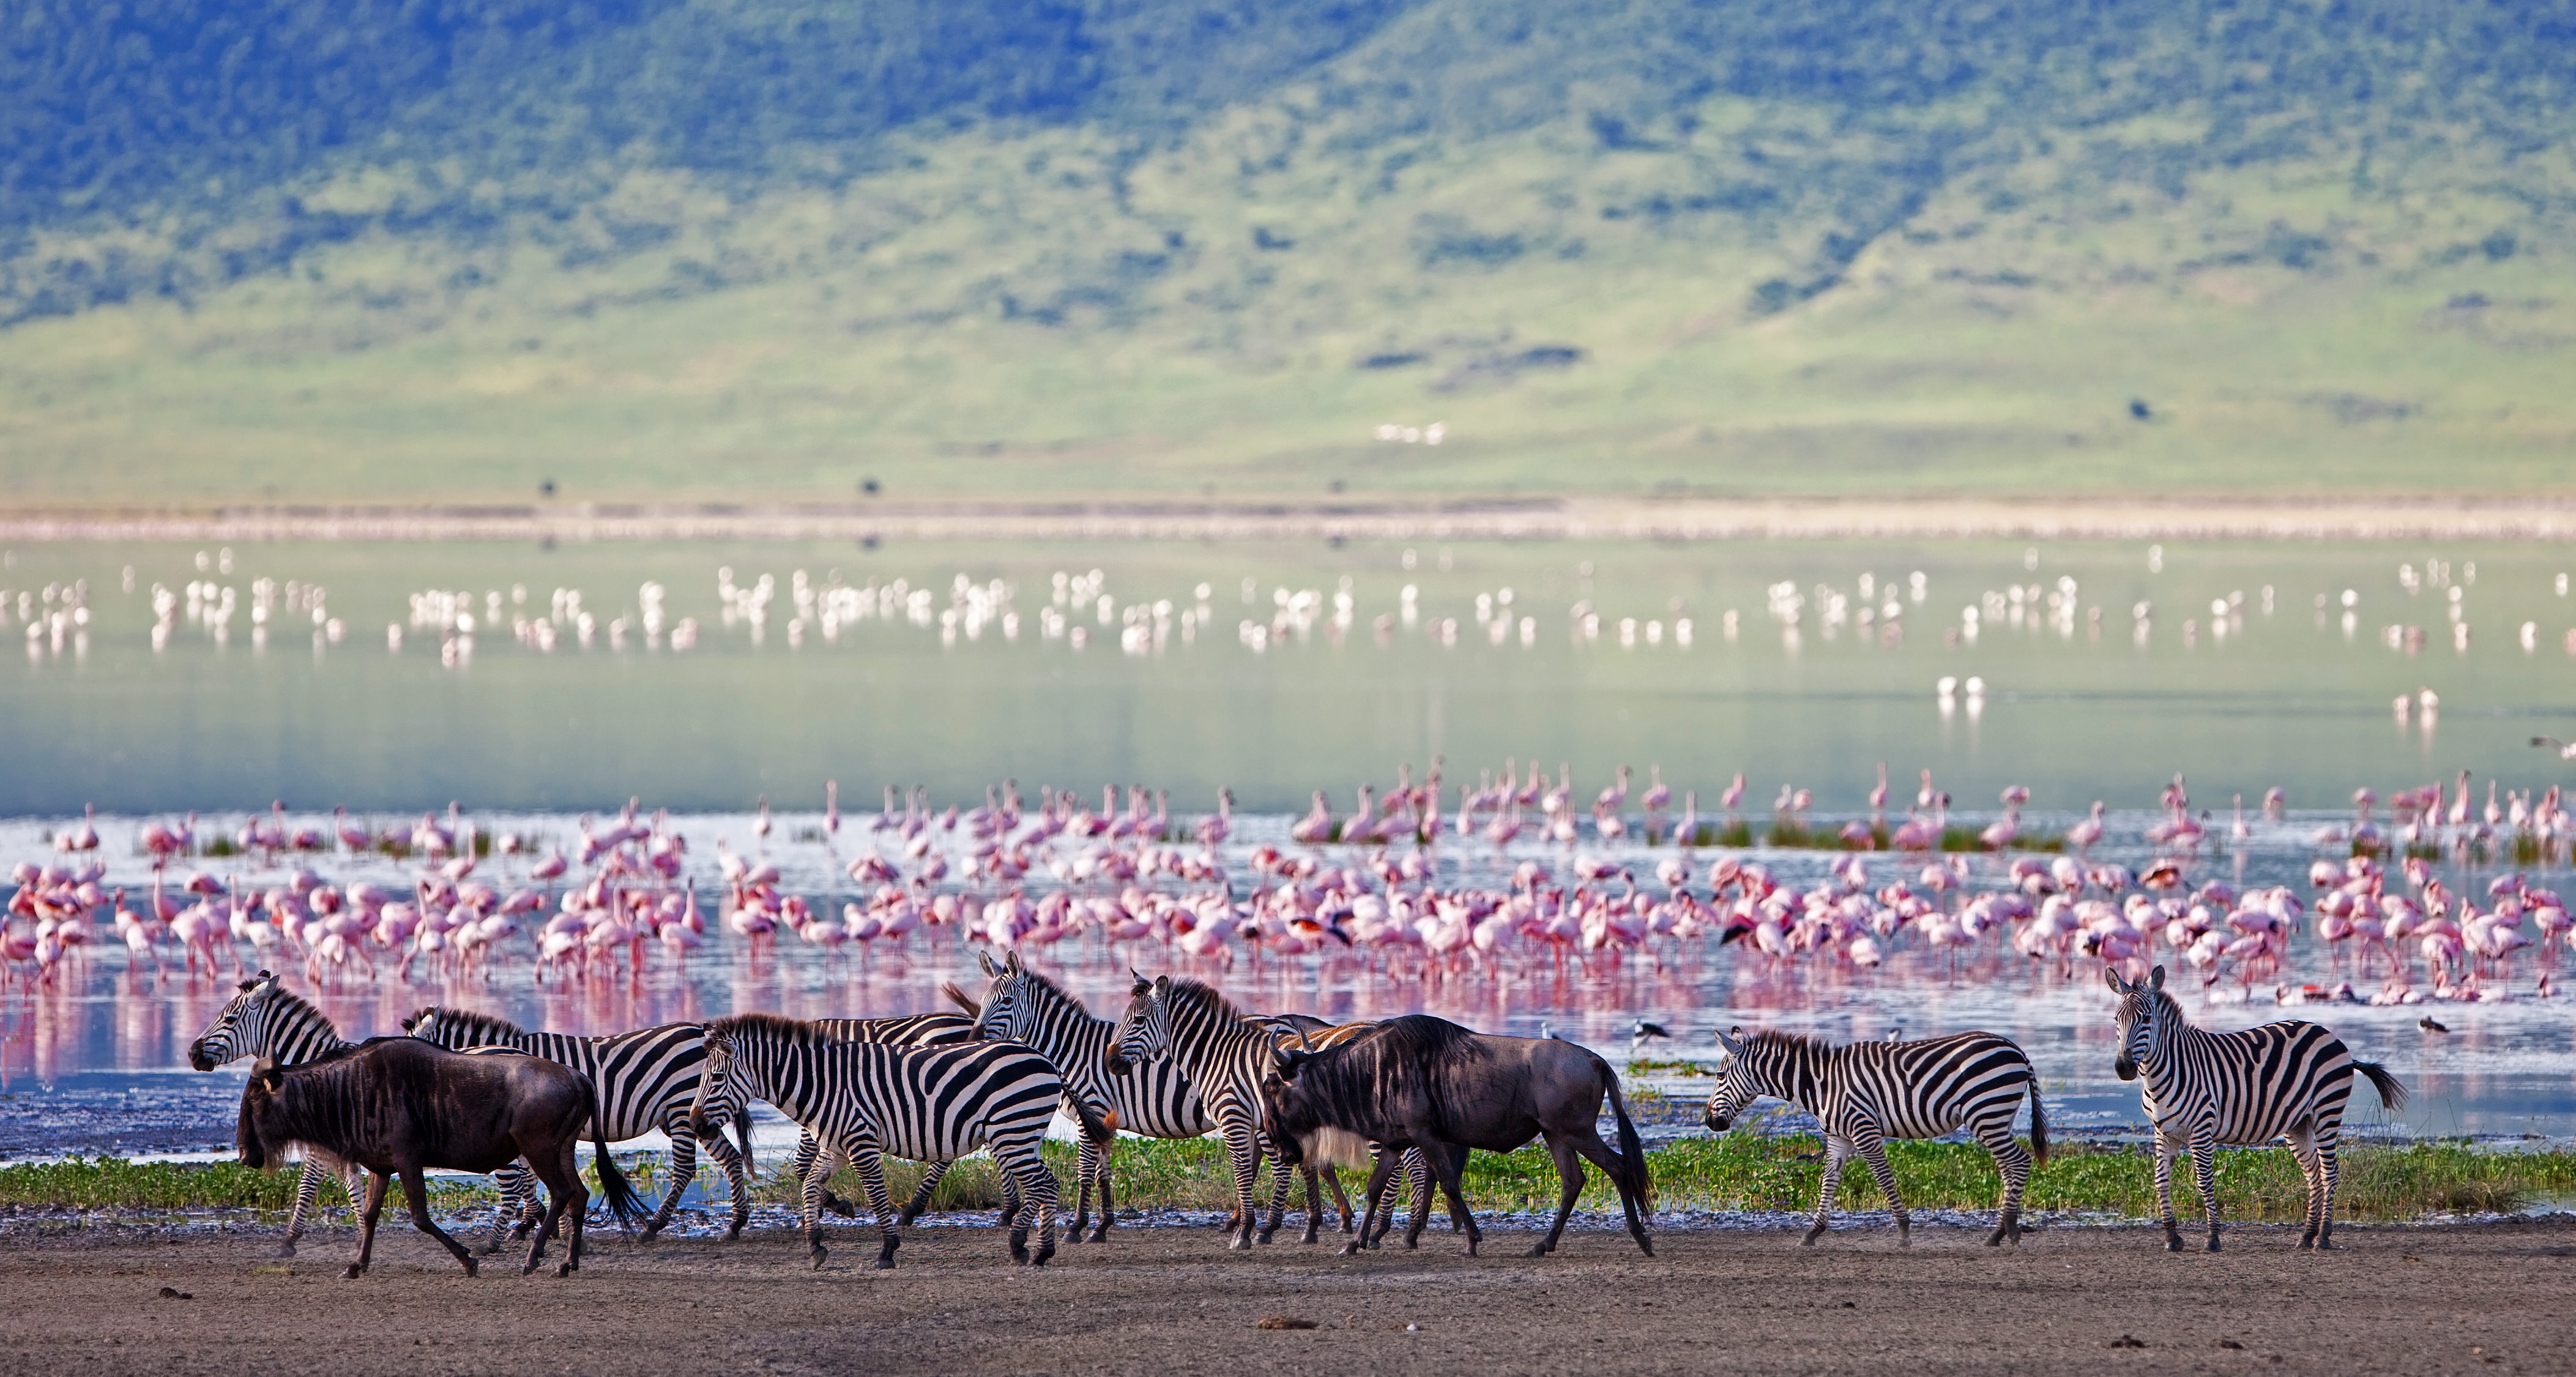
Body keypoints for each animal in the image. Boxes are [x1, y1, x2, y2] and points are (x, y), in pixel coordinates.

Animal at [188, 969, 363, 1263]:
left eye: (230, 1020)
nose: (192, 1054)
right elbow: (355, 1188)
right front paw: (364, 1237)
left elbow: (310, 1185)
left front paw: (289, 1242)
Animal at [391, 1010, 752, 1248]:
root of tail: (701, 1033)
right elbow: (529, 1180)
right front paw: (537, 1223)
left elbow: (524, 1181)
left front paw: (536, 1223)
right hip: (695, 1115)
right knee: (730, 1158)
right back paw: (736, 1223)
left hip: (681, 1109)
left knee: (685, 1169)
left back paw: (654, 1227)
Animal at [680, 1016, 1082, 1274]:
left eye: (717, 1077)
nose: (695, 1125)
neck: (824, 1083)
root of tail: (1045, 1059)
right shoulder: (836, 1147)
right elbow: (810, 1186)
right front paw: (816, 1246)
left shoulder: (862, 1142)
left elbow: (875, 1197)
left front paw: (887, 1250)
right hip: (1020, 1134)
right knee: (1047, 1184)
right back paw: (1033, 1249)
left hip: (1013, 1131)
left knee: (1043, 1185)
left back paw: (1031, 1248)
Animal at [1710, 1026, 2050, 1253]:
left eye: (1719, 1076)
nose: (1710, 1123)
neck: (1821, 1084)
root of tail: (2016, 1050)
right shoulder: (1838, 1137)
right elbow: (1829, 1182)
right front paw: (1812, 1233)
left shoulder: (1864, 1130)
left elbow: (1884, 1179)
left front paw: (1904, 1233)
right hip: (1996, 1118)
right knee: (2008, 1168)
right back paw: (1998, 1233)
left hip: (1986, 1113)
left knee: (2019, 1162)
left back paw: (2009, 1230)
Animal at [2102, 964, 2400, 1258]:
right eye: (2117, 1020)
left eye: (2146, 1019)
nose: (2124, 1068)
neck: (2164, 1073)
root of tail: (2327, 1034)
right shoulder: (2164, 1133)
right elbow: (2161, 1182)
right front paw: (2172, 1238)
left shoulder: (2202, 1130)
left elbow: (2204, 1183)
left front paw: (2213, 1238)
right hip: (2299, 1122)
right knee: (2314, 1173)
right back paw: (2307, 1236)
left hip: (2327, 1111)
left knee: (2330, 1173)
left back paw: (2324, 1237)